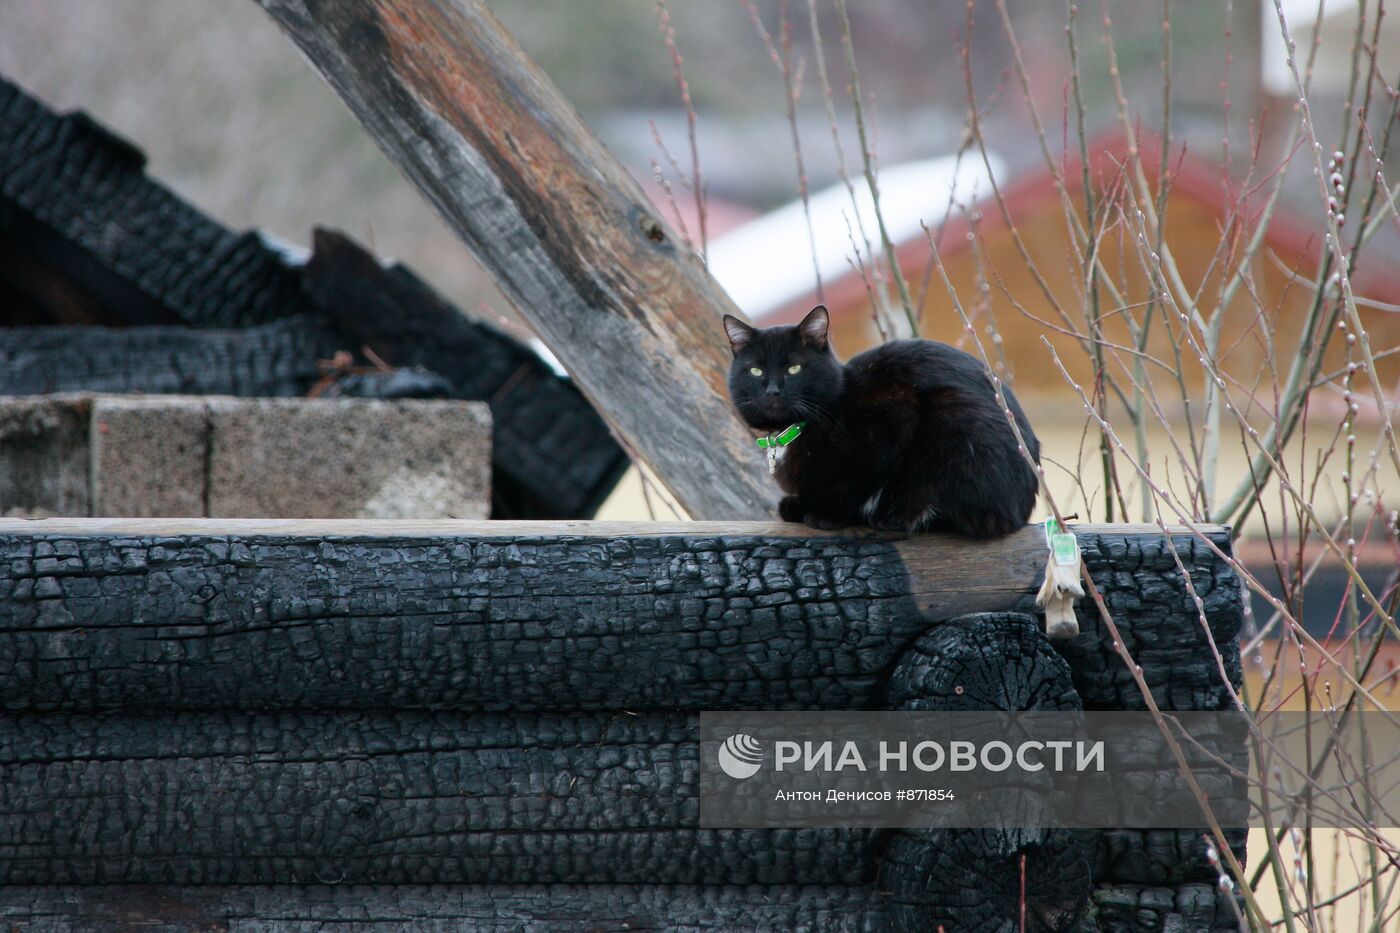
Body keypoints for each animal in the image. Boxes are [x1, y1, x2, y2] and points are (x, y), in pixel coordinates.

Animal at [722, 305, 1041, 537]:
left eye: (794, 368)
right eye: (755, 371)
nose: (773, 390)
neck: (792, 431)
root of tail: (1022, 509)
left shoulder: (894, 412)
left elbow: (856, 484)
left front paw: (825, 514)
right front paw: (798, 505)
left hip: (954, 420)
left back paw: (891, 516)